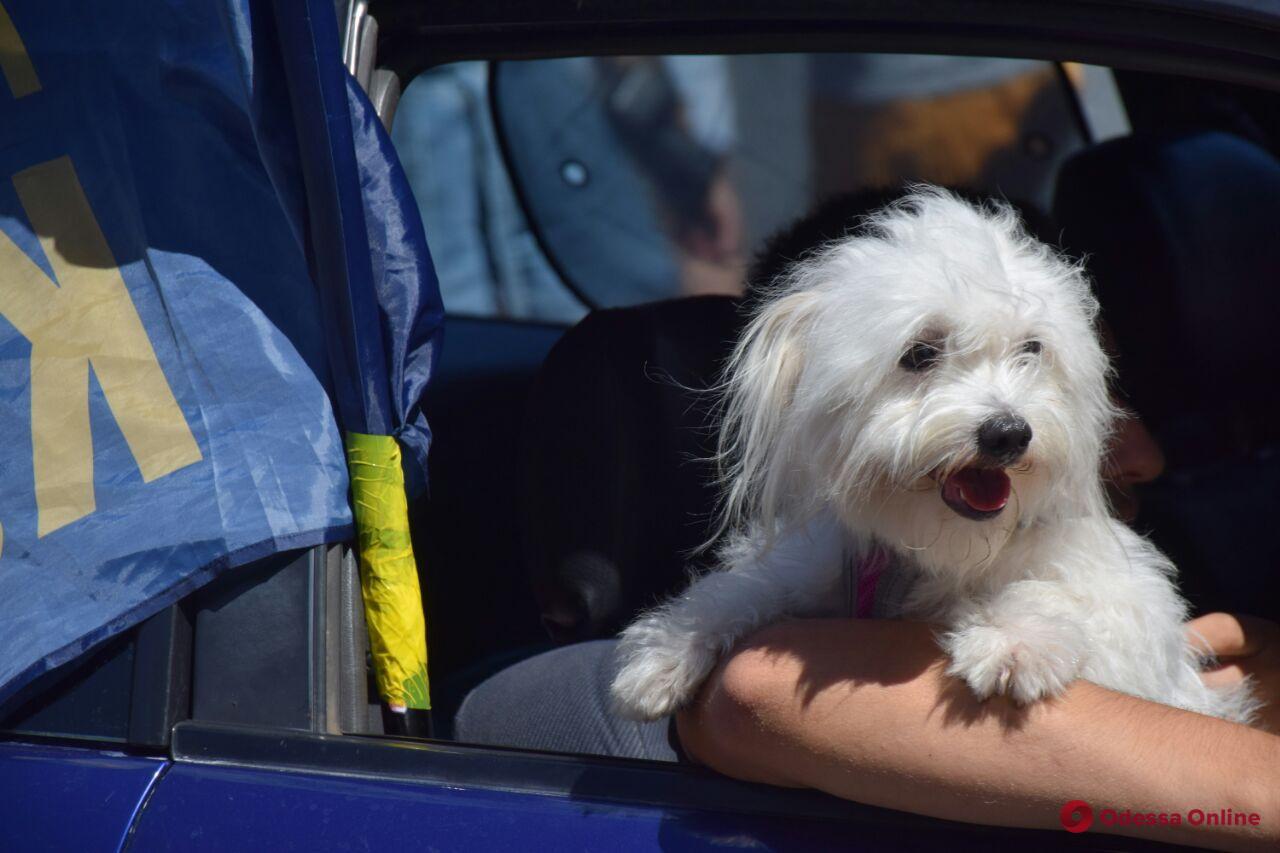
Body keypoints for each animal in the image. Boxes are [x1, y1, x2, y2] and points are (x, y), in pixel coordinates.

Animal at [609, 188, 1259, 722]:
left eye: (1032, 349)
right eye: (919, 353)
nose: (1008, 433)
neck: (938, 550)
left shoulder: (1125, 612)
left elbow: (1062, 595)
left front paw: (1015, 640)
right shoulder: (818, 564)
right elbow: (746, 585)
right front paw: (669, 647)